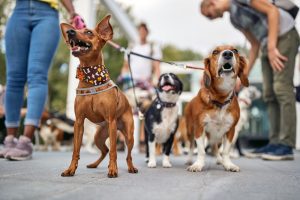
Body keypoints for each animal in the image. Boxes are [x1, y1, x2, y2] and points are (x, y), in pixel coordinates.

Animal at [61, 15, 138, 178]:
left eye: (89, 32)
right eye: (74, 29)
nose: (70, 32)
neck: (91, 78)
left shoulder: (111, 120)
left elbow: (115, 151)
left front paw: (113, 170)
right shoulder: (79, 122)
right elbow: (76, 150)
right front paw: (70, 169)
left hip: (128, 135)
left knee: (127, 155)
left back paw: (130, 167)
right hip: (99, 137)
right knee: (105, 150)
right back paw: (94, 164)